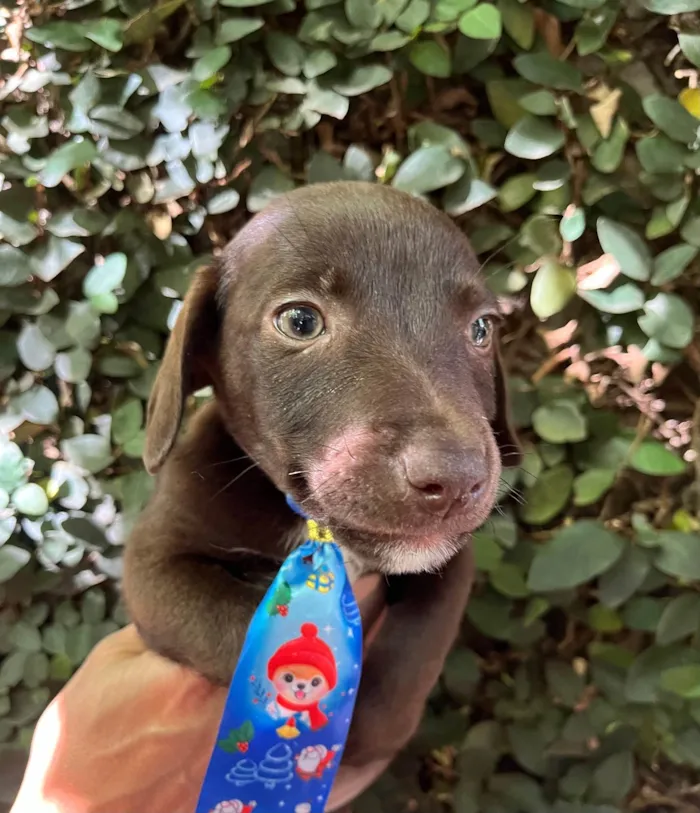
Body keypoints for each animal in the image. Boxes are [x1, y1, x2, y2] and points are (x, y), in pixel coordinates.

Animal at [120, 179, 516, 792]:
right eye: (301, 321)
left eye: (480, 329)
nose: (456, 479)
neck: (320, 533)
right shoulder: (155, 568)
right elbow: (243, 627)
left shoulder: (451, 562)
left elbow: (416, 647)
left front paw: (369, 729)